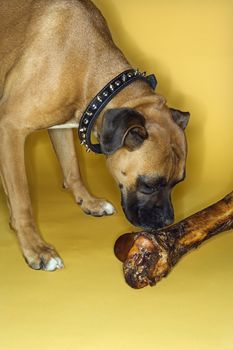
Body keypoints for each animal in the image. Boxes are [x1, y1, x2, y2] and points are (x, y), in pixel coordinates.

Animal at [0, 0, 189, 270]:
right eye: (148, 184)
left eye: (178, 182)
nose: (167, 222)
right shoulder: (11, 127)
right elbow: (22, 198)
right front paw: (35, 248)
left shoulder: (61, 125)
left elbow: (72, 168)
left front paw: (88, 202)